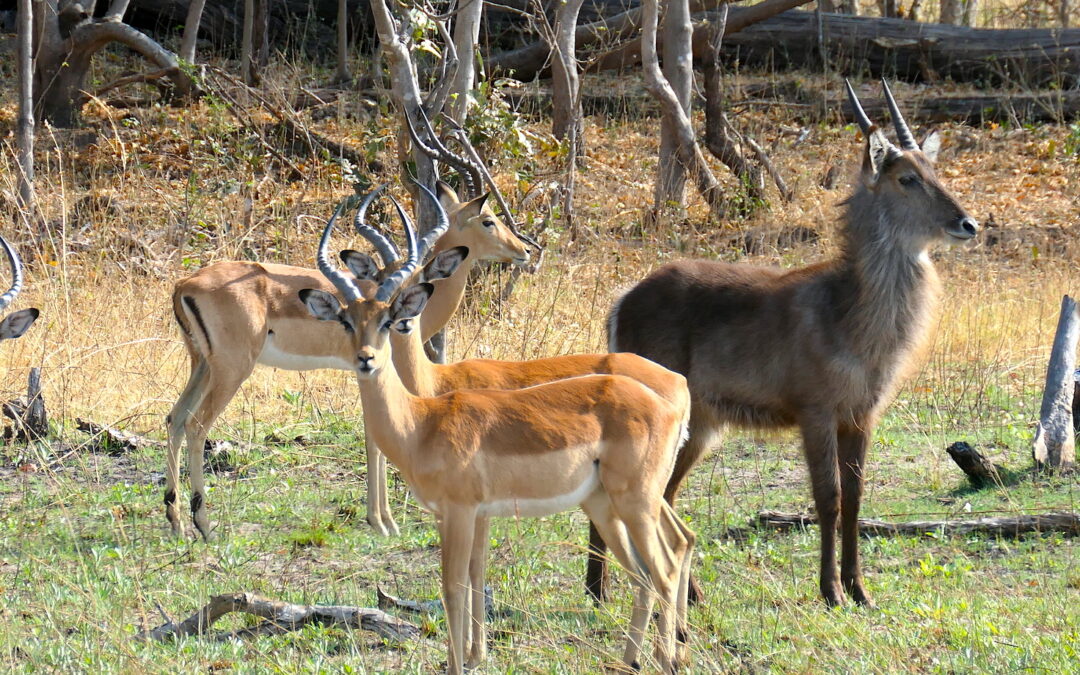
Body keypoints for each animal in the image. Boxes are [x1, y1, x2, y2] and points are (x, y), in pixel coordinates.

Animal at [591, 80, 980, 604]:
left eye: (934, 170)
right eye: (907, 179)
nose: (968, 224)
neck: (850, 315)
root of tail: (622, 301)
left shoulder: (861, 414)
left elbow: (856, 497)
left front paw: (860, 590)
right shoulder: (815, 410)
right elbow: (828, 498)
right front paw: (831, 591)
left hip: (699, 423)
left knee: (661, 496)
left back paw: (678, 592)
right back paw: (601, 592)